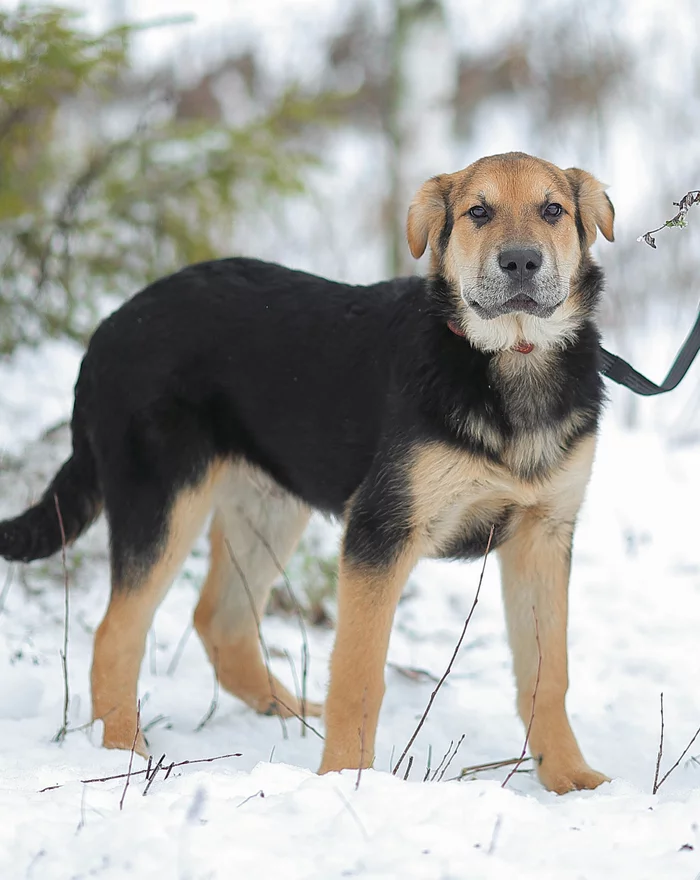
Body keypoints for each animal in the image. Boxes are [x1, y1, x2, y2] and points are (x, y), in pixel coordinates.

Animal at [0, 153, 612, 796]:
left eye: (553, 210)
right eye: (478, 212)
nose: (521, 261)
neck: (511, 360)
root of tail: (106, 329)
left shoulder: (543, 534)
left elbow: (549, 672)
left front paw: (568, 776)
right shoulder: (379, 533)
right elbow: (358, 675)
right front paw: (347, 780)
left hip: (267, 508)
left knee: (220, 622)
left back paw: (287, 713)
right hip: (163, 501)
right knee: (116, 634)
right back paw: (124, 755)